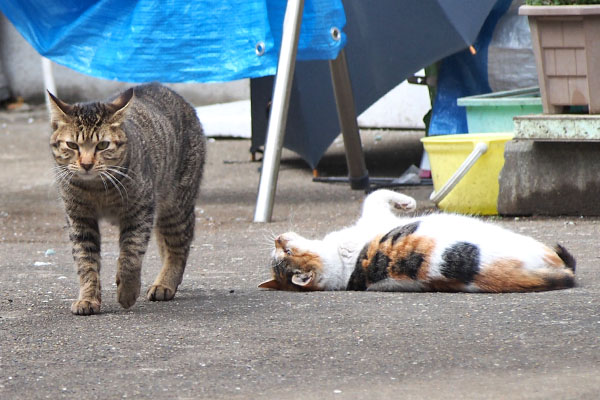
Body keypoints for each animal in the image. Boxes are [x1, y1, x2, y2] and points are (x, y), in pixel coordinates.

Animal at [48, 83, 206, 316]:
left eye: (103, 145)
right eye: (72, 145)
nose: (86, 164)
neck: (97, 189)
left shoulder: (140, 211)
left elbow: (130, 255)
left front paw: (128, 291)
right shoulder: (79, 218)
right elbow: (86, 262)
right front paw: (88, 298)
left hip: (176, 205)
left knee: (178, 247)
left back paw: (165, 284)